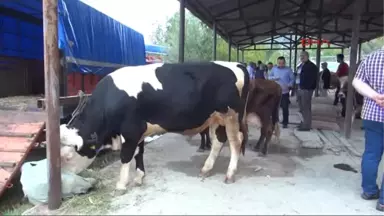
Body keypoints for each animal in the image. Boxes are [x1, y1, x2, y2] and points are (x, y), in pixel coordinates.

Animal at [60, 61, 249, 195]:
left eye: (68, 157)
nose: (63, 181)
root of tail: (238, 64)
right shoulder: (139, 131)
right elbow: (139, 152)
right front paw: (139, 177)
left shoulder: (130, 129)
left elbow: (126, 156)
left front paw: (121, 184)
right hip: (216, 118)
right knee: (218, 141)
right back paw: (206, 169)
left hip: (231, 116)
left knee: (235, 142)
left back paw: (230, 174)